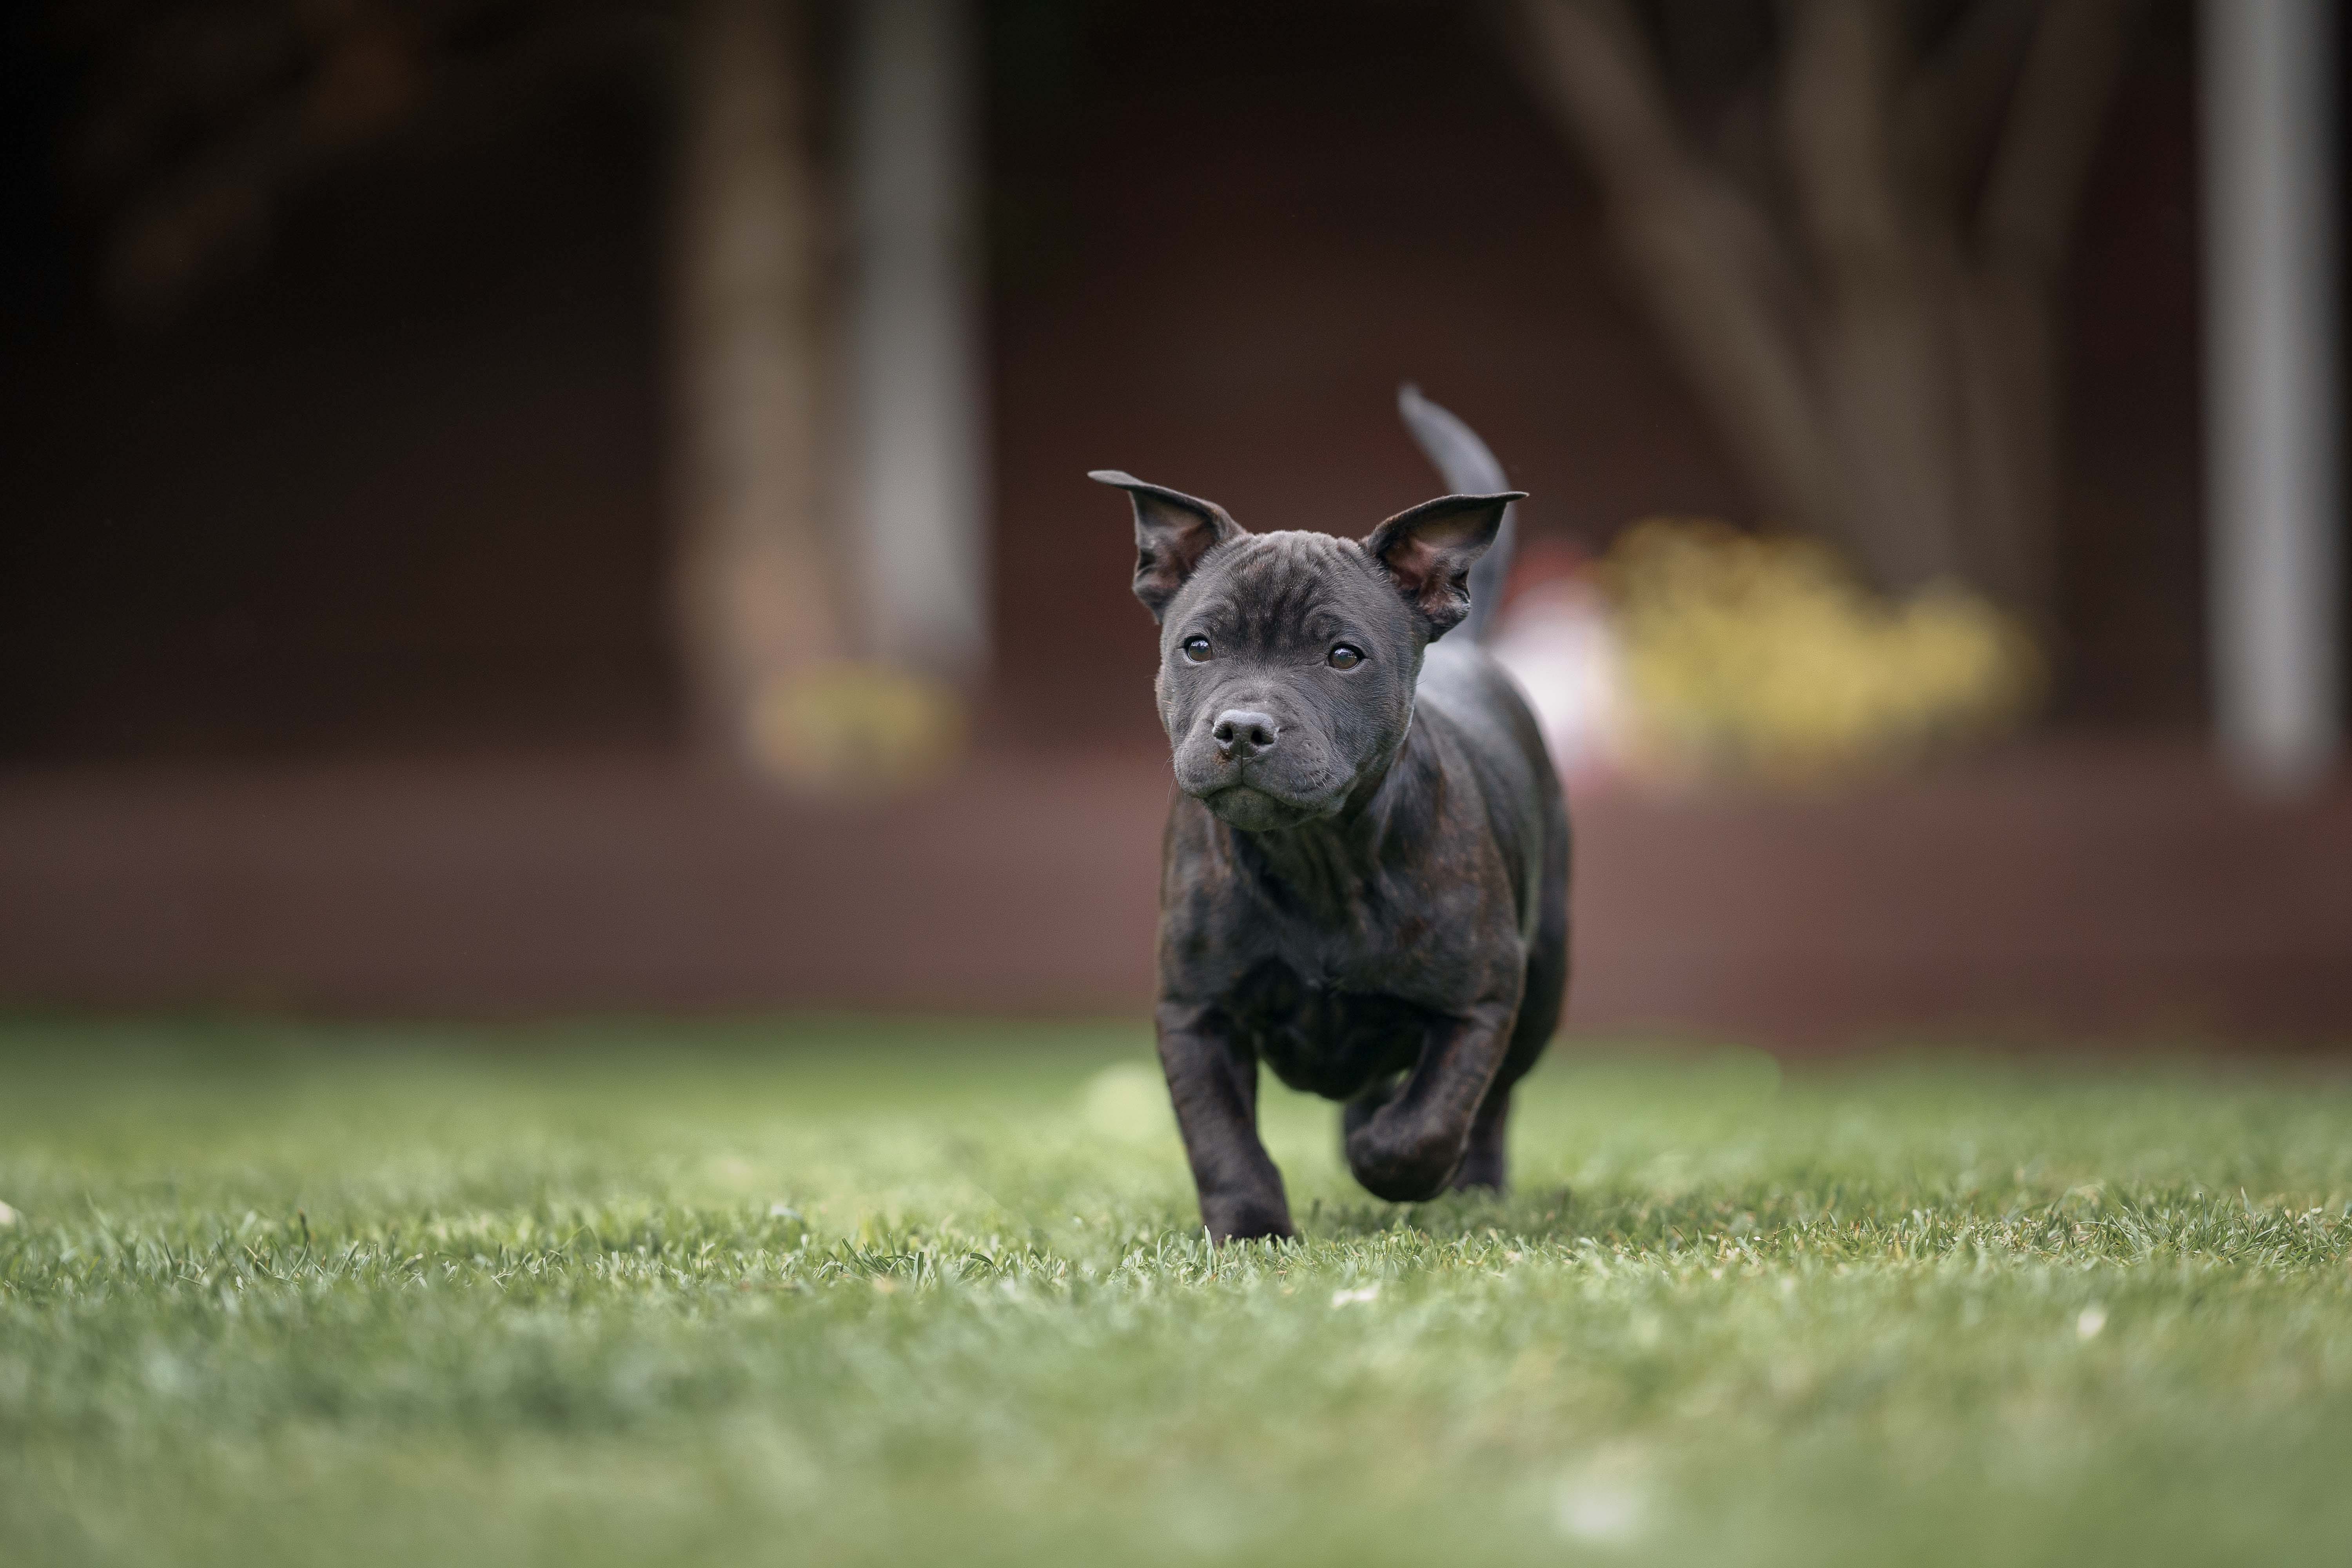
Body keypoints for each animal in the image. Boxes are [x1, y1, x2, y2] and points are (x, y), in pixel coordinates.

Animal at [1091, 385, 1571, 1241]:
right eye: (1197, 646)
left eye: (1343, 655)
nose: (1242, 728)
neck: (1317, 856)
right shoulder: (1196, 1013)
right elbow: (1221, 1138)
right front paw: (1251, 1230)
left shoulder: (1482, 999)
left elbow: (1433, 1119)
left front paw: (1389, 1159)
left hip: (1543, 981)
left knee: (1492, 1104)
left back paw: (1471, 1184)